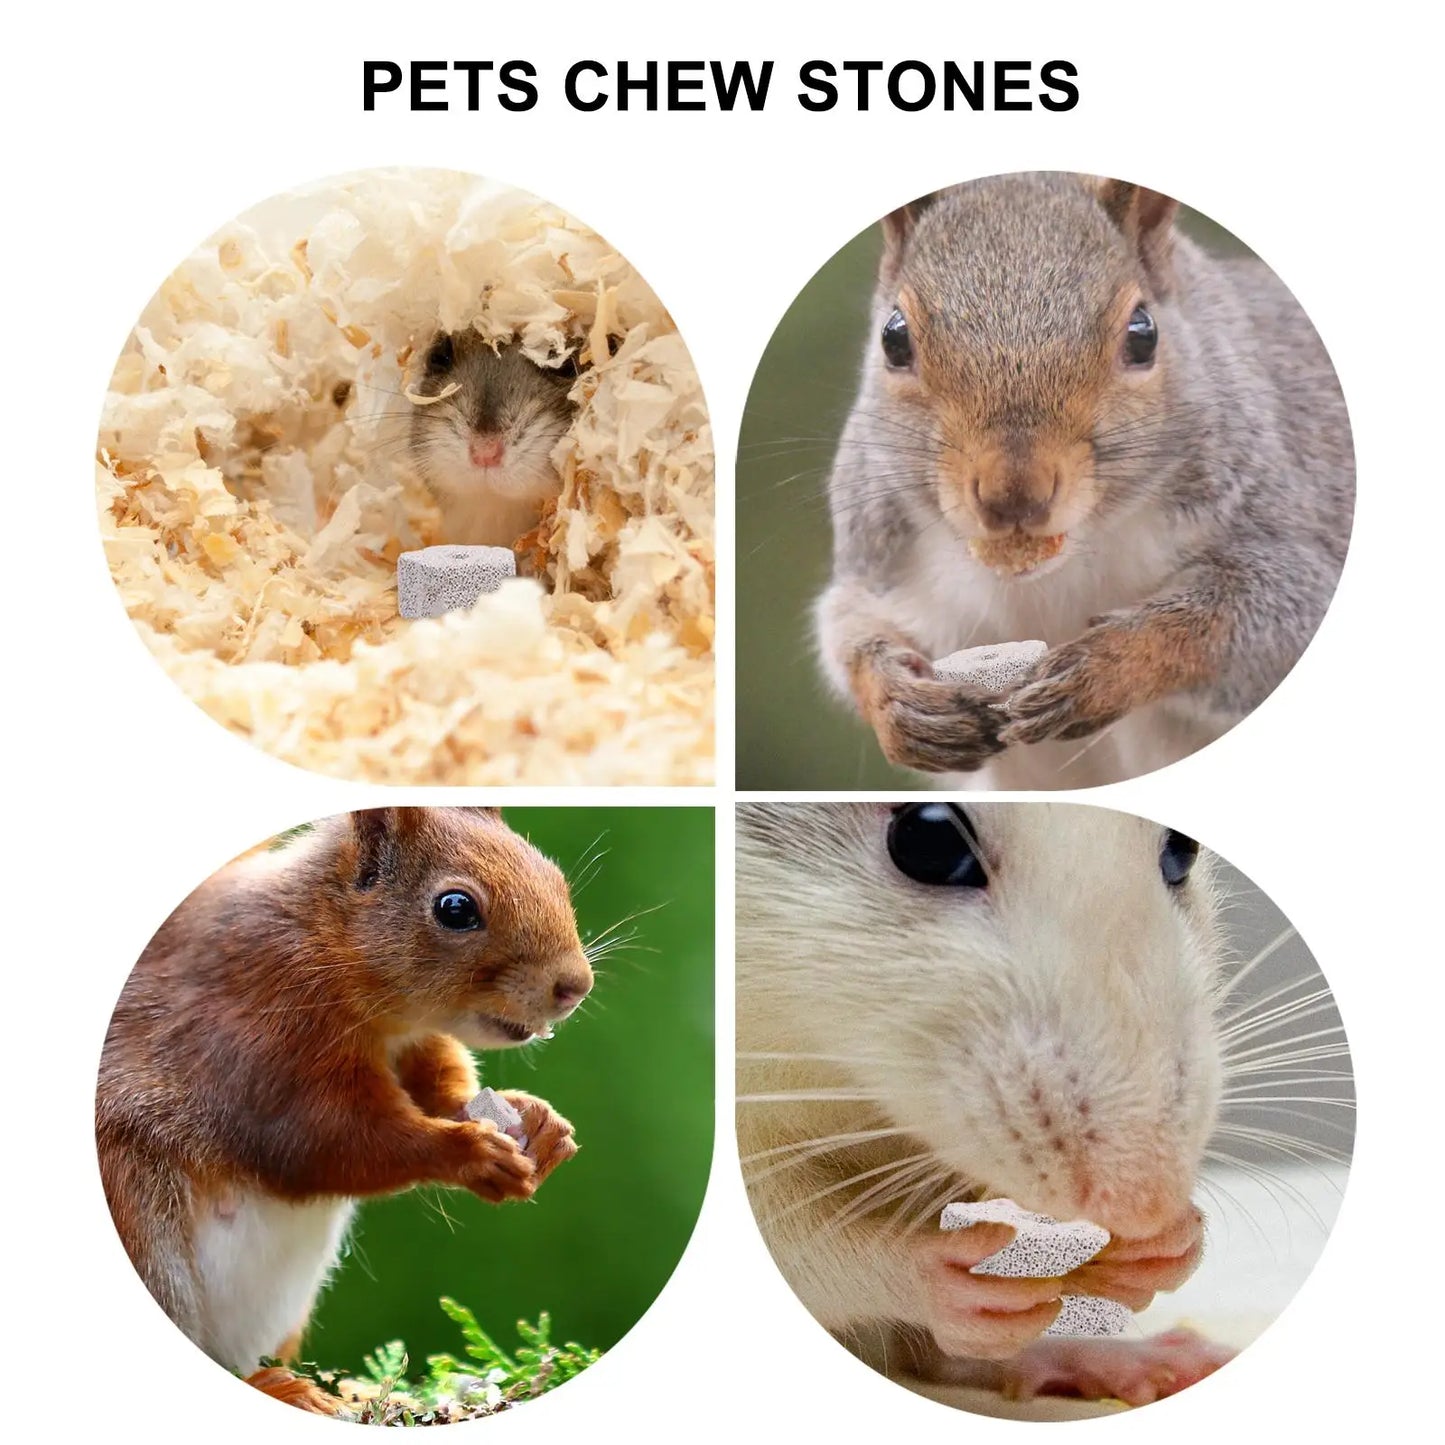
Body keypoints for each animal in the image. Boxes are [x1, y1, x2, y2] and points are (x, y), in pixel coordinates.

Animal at [96, 807, 594, 1414]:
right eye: (455, 908)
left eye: (554, 877)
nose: (575, 986)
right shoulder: (258, 1033)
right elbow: (325, 1141)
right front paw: (468, 1152)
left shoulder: (415, 1045)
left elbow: (441, 1093)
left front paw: (539, 1123)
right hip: (138, 1212)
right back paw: (286, 1389)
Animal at [736, 801, 1235, 1406]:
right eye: (929, 842)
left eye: (1184, 849)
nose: (1145, 1205)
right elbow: (790, 1238)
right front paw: (932, 1273)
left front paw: (1169, 1243)